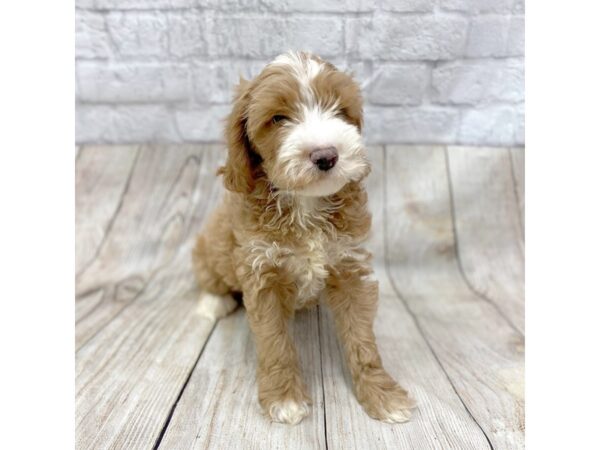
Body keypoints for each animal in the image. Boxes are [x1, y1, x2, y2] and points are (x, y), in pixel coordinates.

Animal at [195, 51, 414, 424]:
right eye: (278, 118)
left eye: (339, 110)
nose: (326, 155)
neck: (305, 205)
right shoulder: (261, 272)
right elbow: (275, 342)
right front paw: (284, 398)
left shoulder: (349, 264)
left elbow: (362, 340)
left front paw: (383, 395)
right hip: (213, 242)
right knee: (210, 272)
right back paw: (212, 302)